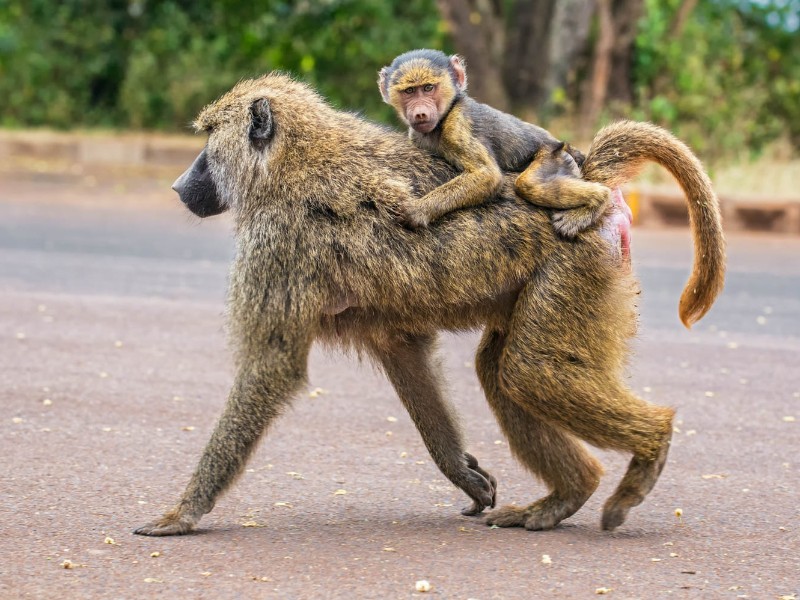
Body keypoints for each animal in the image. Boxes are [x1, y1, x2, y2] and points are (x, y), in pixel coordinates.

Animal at [133, 73, 725, 537]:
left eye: (209, 140)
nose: (179, 185)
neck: (293, 159)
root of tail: (590, 184)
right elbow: (404, 353)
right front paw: (462, 473)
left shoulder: (278, 244)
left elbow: (269, 366)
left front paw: (183, 513)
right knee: (502, 371)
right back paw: (566, 496)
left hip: (575, 265)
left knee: (529, 370)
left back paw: (649, 449)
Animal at [378, 49, 611, 237]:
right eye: (409, 91)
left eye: (428, 88)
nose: (420, 113)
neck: (443, 118)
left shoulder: (458, 124)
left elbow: (487, 175)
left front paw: (418, 210)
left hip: (554, 156)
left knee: (528, 184)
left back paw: (599, 200)